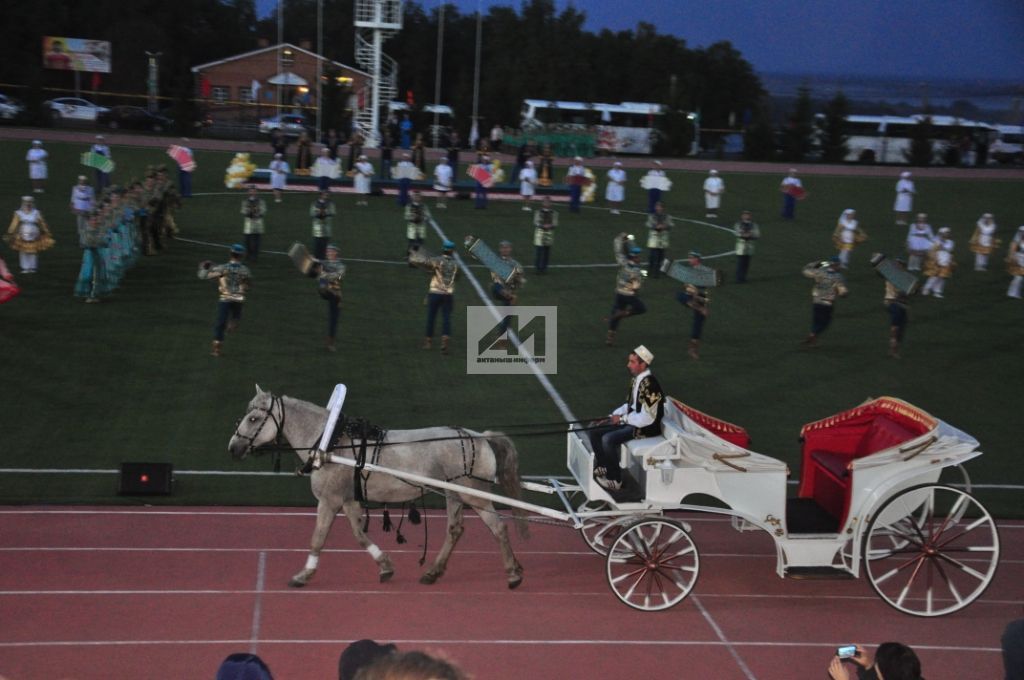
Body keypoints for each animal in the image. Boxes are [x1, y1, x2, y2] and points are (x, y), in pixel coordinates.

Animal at [225, 387, 528, 589]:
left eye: (253, 419)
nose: (233, 448)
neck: (330, 443)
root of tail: (479, 436)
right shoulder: (348, 500)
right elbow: (359, 535)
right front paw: (385, 566)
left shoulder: (329, 500)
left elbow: (318, 538)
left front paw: (304, 574)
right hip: (453, 494)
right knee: (455, 530)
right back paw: (434, 571)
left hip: (472, 494)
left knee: (498, 527)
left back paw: (513, 573)